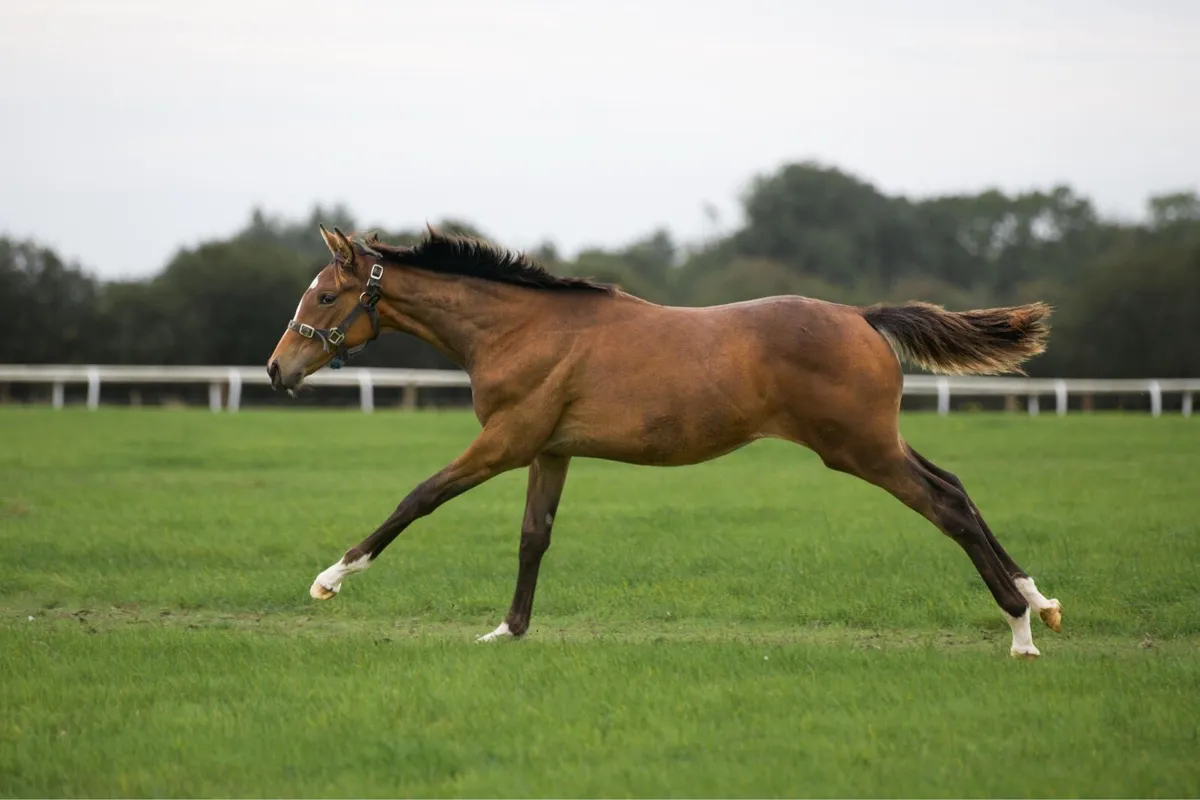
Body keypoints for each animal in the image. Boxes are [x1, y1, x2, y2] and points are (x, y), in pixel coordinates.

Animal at [267, 224, 1062, 659]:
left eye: (327, 296)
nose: (277, 369)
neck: (519, 329)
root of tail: (863, 317)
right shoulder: (550, 450)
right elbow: (533, 537)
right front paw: (508, 631)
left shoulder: (507, 441)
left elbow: (419, 497)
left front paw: (331, 578)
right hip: (873, 442)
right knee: (957, 485)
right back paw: (1040, 597)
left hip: (859, 450)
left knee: (947, 506)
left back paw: (1020, 629)